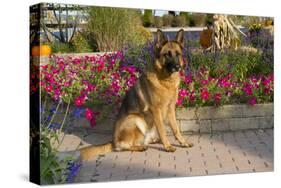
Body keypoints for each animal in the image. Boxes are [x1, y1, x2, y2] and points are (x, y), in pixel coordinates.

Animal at [80, 29, 191, 160]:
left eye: (177, 54)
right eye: (167, 55)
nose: (178, 67)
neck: (165, 81)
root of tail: (113, 142)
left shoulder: (171, 109)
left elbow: (176, 129)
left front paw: (183, 142)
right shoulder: (156, 110)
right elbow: (163, 131)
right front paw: (168, 146)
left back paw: (152, 141)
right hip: (135, 119)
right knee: (122, 147)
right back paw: (140, 147)